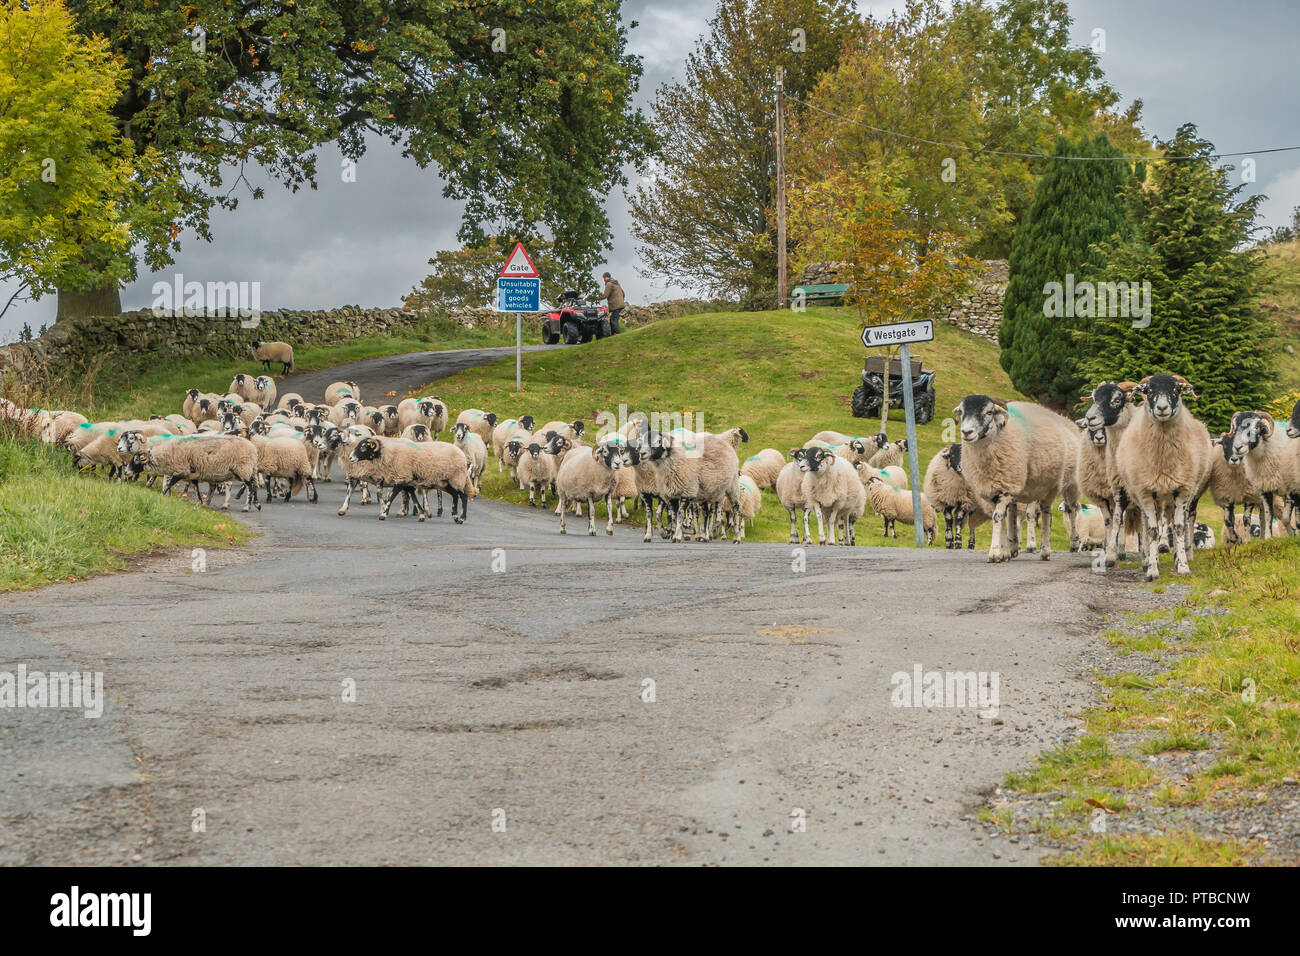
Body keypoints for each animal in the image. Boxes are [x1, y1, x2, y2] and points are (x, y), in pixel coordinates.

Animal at [956, 395, 1086, 564]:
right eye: (962, 412)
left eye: (989, 412)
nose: (966, 432)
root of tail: (1065, 420)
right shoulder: (994, 491)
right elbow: (1002, 518)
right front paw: (1004, 552)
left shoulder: (1007, 487)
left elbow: (997, 518)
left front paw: (995, 553)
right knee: (1015, 512)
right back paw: (1013, 547)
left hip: (1060, 486)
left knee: (1063, 511)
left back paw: (1058, 547)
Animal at [1112, 374, 1211, 580]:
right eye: (1148, 390)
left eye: (1176, 389)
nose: (1162, 408)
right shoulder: (1145, 492)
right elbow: (1151, 531)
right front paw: (1151, 569)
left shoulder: (1182, 490)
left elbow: (1179, 527)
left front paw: (1182, 565)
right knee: (1146, 526)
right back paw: (1148, 559)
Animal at [1222, 408, 1294, 538]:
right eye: (1234, 427)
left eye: (1256, 427)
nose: (1238, 448)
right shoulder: (1265, 488)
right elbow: (1268, 516)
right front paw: (1268, 537)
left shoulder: (1290, 489)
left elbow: (1285, 518)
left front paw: (1293, 535)